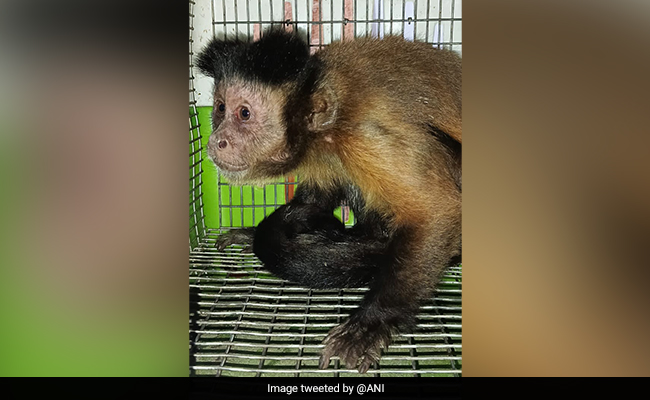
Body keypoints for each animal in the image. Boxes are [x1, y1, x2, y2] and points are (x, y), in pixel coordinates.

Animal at [196, 29, 461, 373]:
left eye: (244, 113)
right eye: (219, 108)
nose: (217, 140)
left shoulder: (367, 136)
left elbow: (436, 211)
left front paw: (370, 324)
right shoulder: (325, 149)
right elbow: (317, 198)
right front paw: (254, 233)